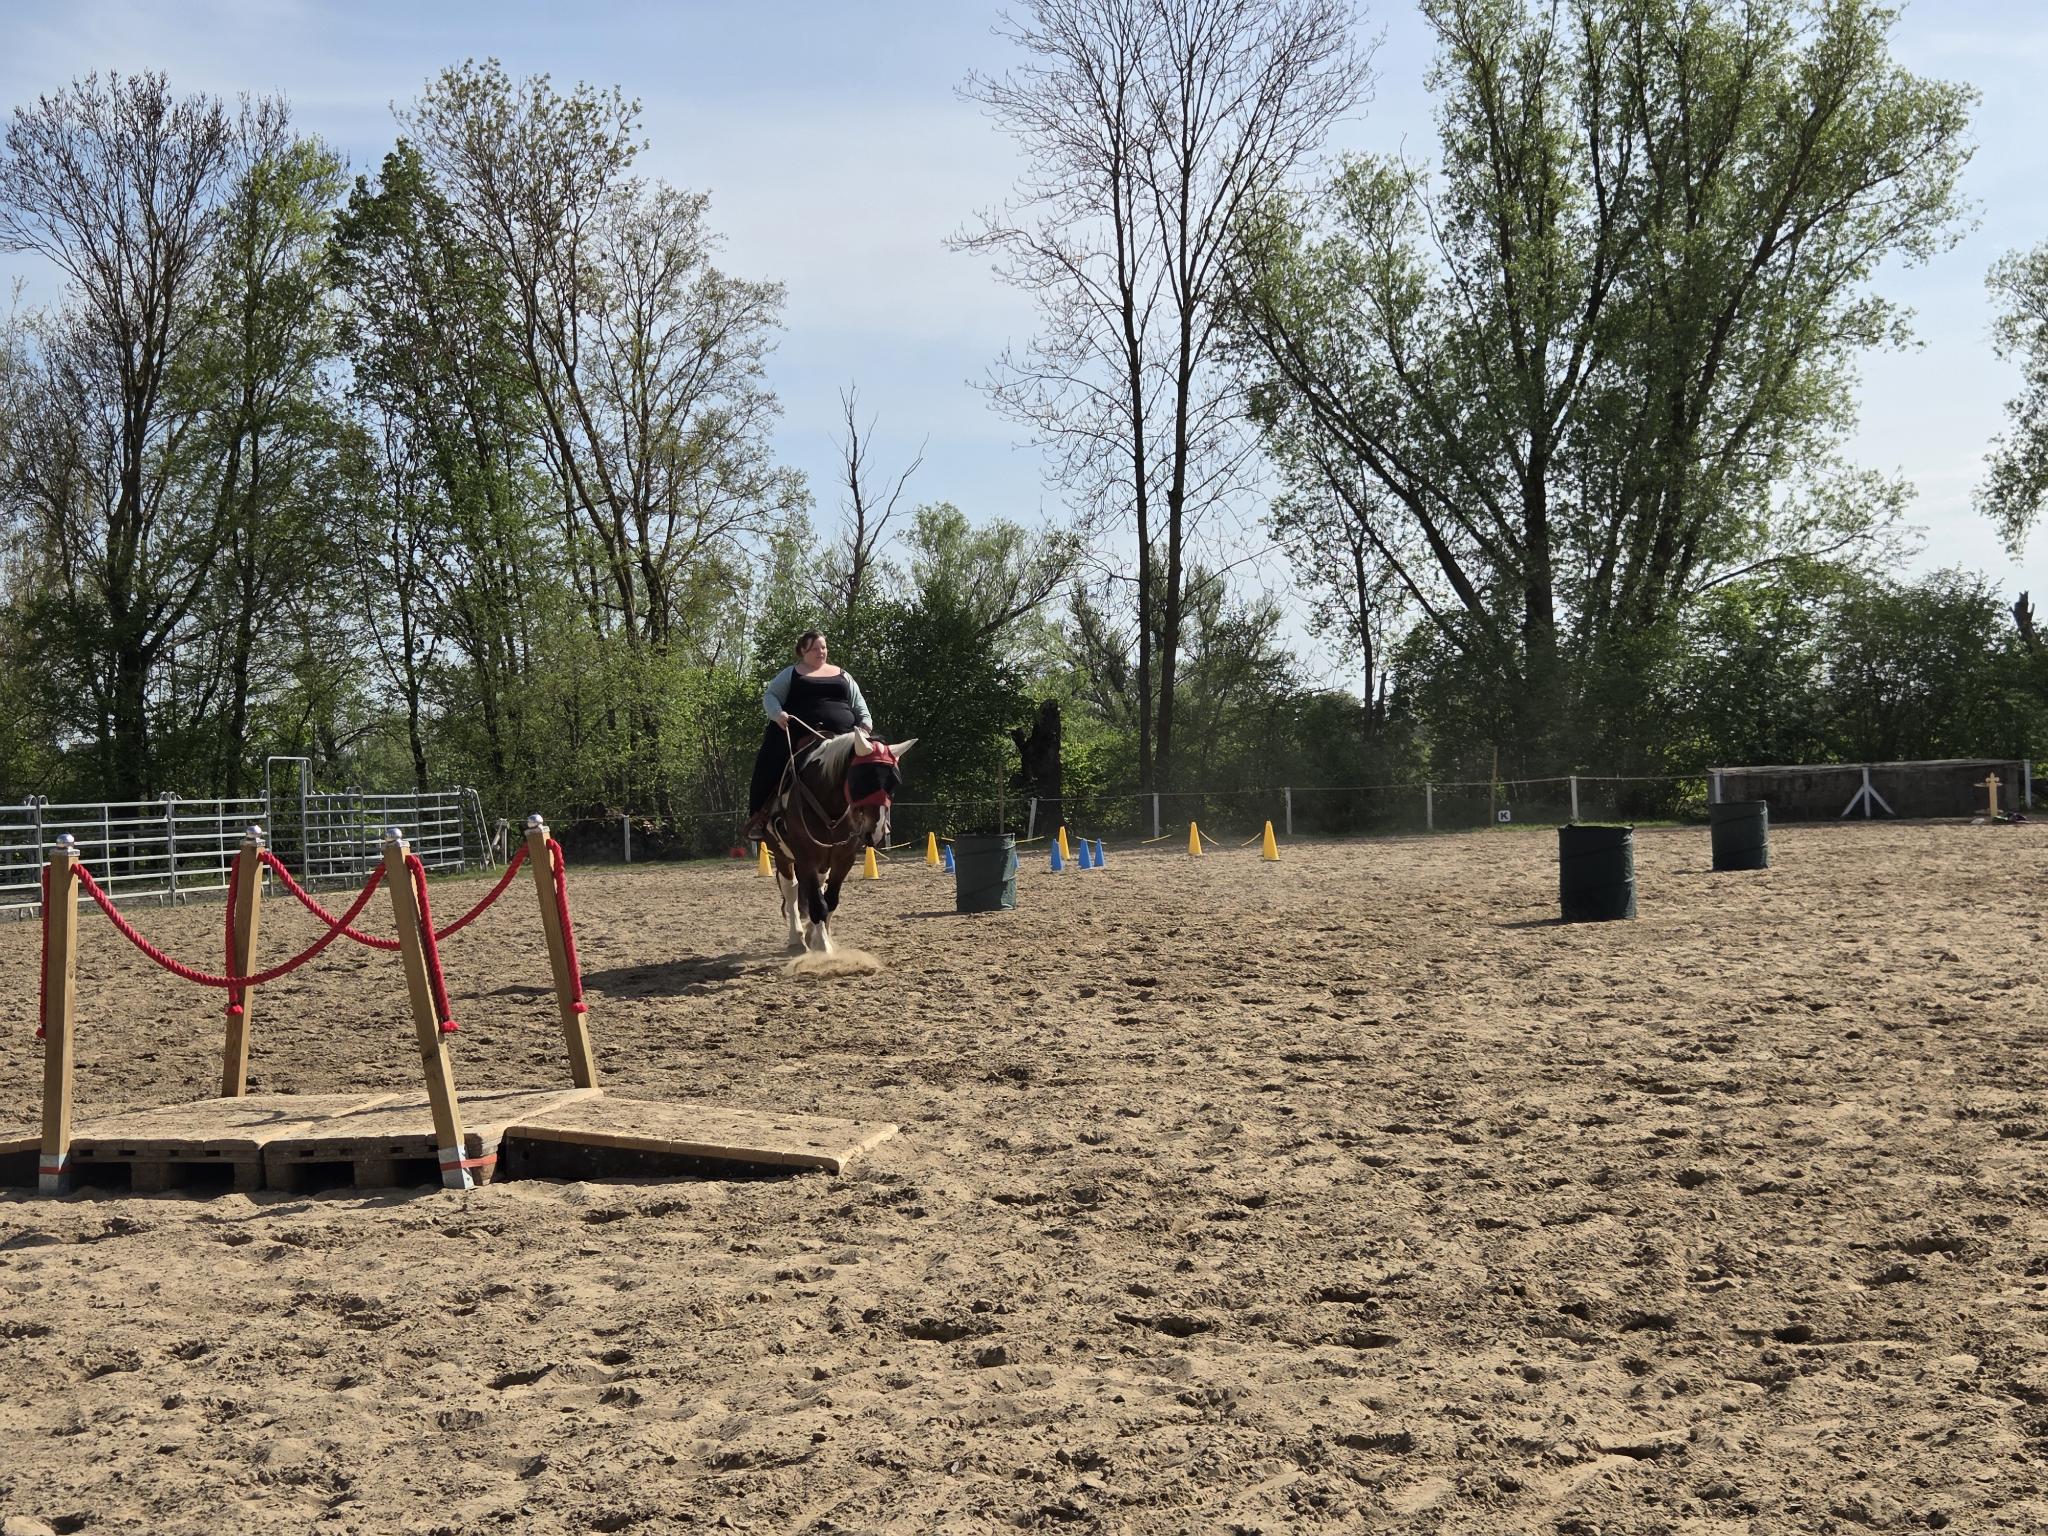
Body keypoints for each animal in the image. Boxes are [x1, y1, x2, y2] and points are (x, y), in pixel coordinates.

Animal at [763, 726, 915, 953]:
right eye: (863, 779)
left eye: (894, 782)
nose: (877, 832)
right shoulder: (806, 859)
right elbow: (817, 903)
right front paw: (823, 946)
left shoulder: (843, 859)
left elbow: (830, 900)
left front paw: (818, 937)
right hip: (783, 856)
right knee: (791, 890)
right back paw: (796, 937)